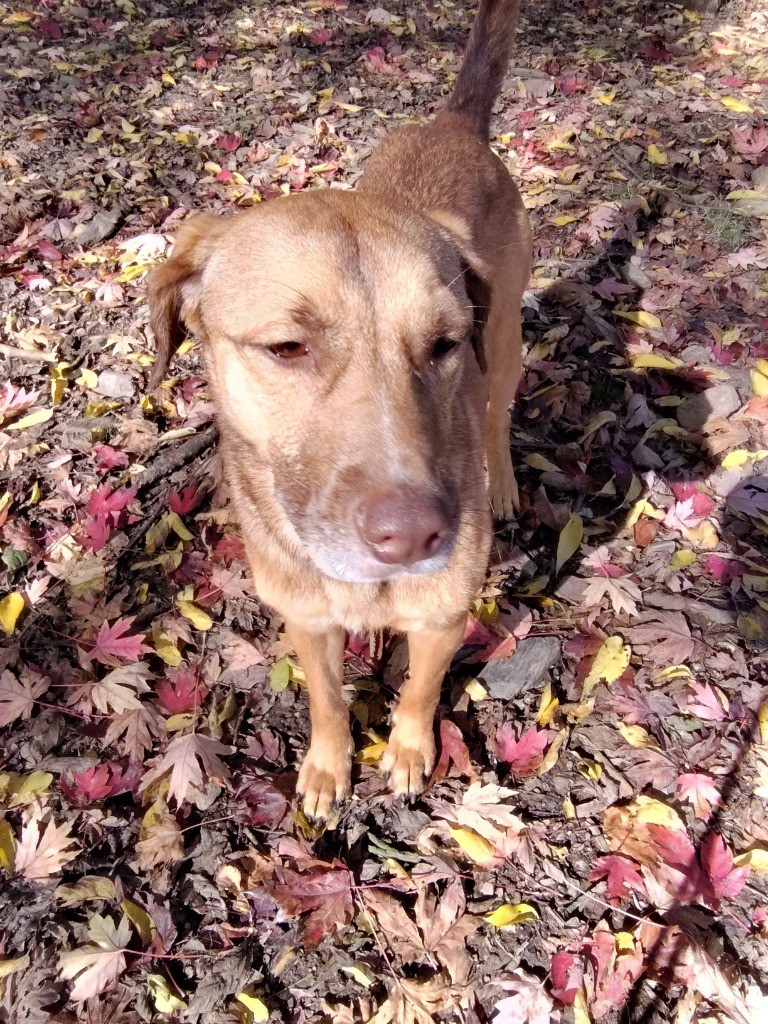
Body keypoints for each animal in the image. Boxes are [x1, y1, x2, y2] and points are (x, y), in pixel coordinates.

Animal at [150, 0, 536, 819]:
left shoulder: (442, 617)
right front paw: (330, 765)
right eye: (287, 346)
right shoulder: (308, 619)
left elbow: (421, 690)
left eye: (443, 344)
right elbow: (327, 699)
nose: (418, 536)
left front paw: (409, 750)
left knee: (496, 416)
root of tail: (453, 124)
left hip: (506, 341)